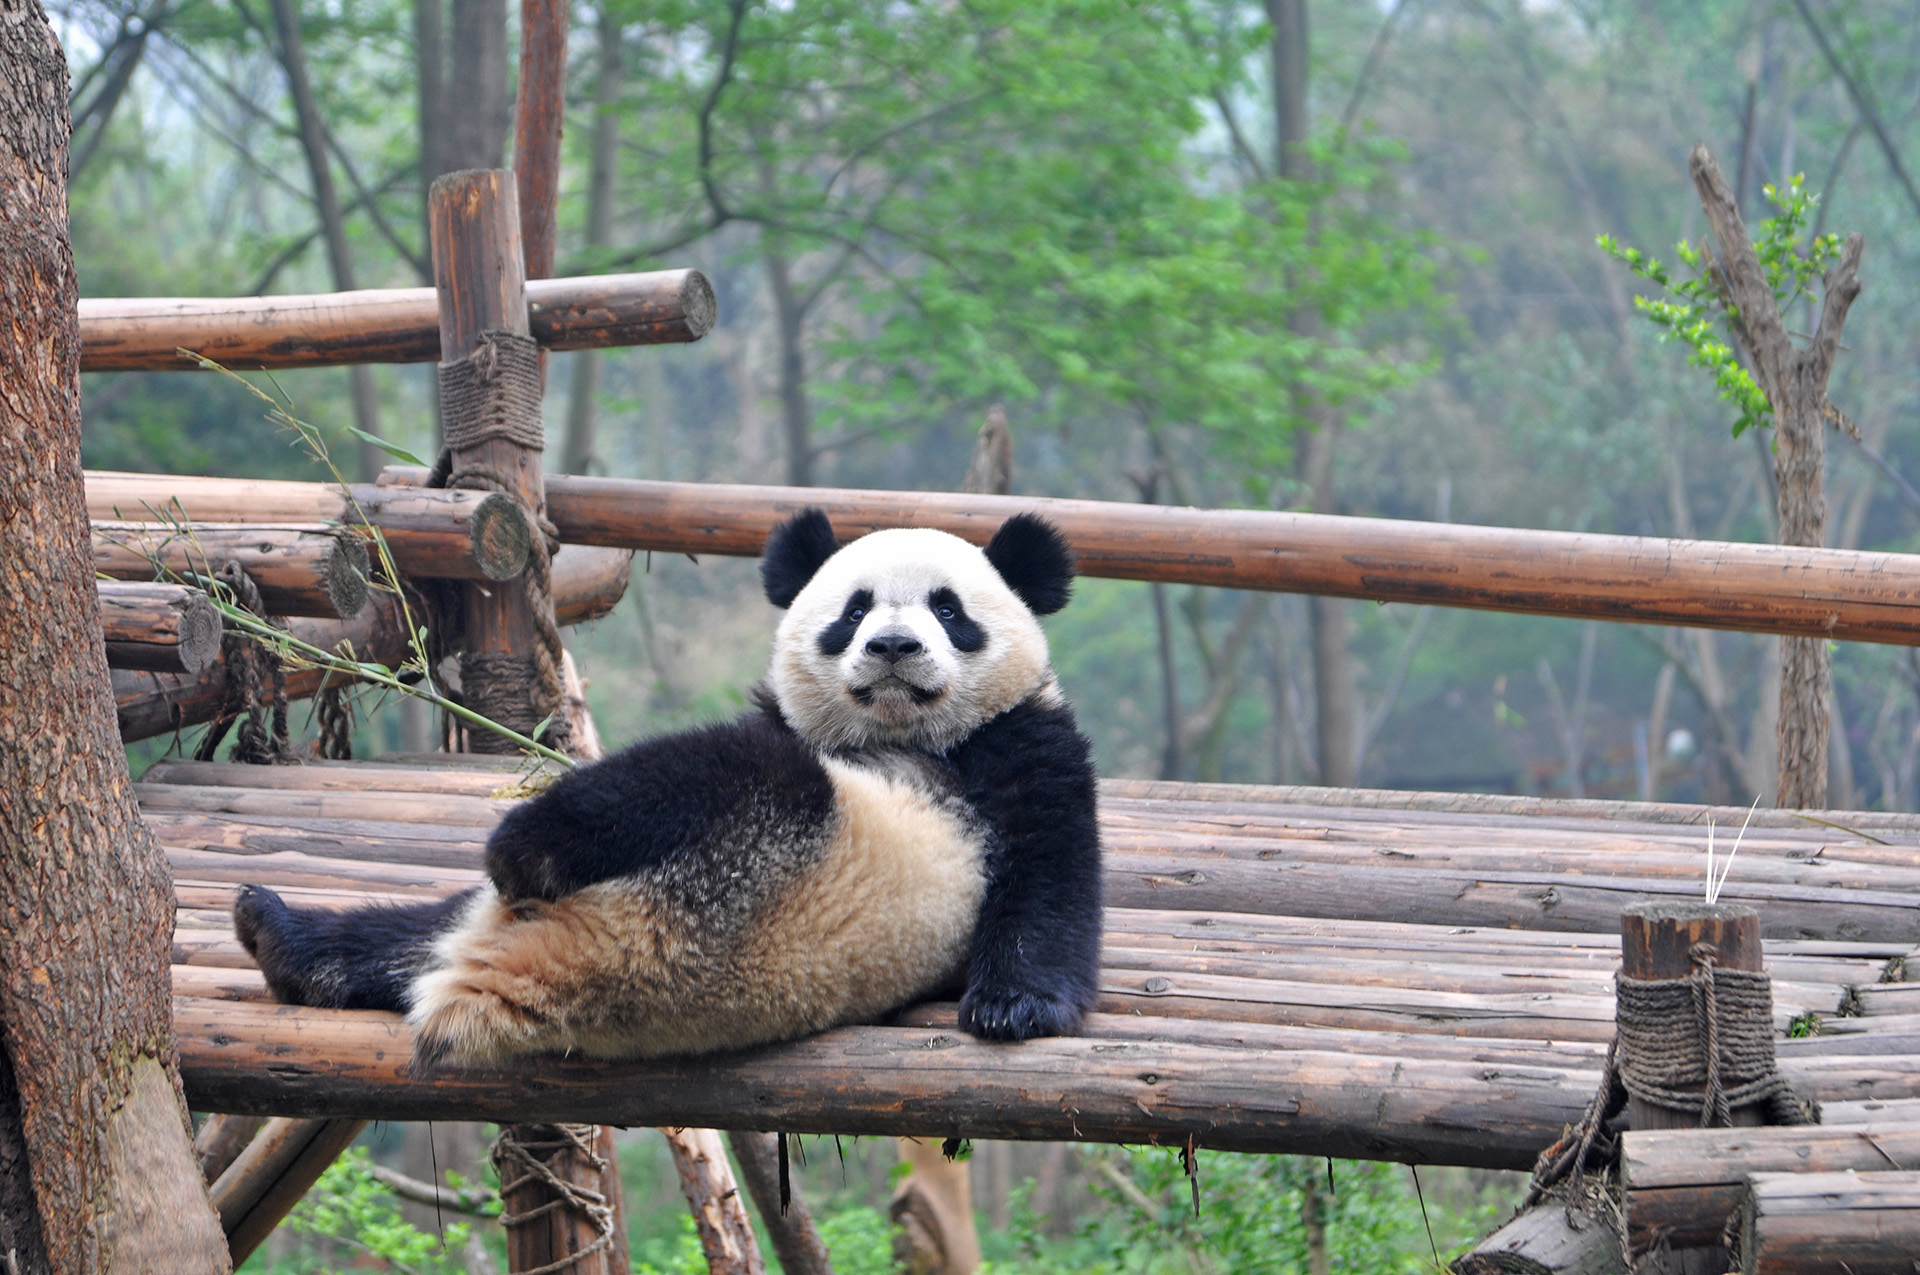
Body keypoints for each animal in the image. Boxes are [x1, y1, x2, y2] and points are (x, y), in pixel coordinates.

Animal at [228, 506, 1098, 1067]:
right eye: (853, 611)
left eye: (948, 610)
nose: (891, 645)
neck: (895, 736)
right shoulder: (797, 724)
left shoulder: (1017, 745)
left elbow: (1049, 873)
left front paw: (1013, 1005)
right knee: (406, 932)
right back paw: (279, 932)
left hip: (750, 863)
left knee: (691, 776)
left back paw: (523, 848)